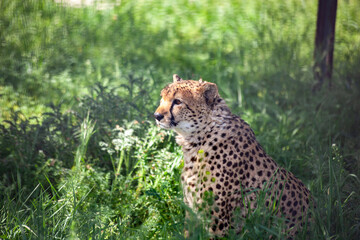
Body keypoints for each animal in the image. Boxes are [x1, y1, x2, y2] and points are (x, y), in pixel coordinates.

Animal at [154, 74, 312, 237]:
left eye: (178, 101)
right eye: (162, 97)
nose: (157, 115)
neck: (200, 137)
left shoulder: (218, 222)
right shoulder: (192, 213)